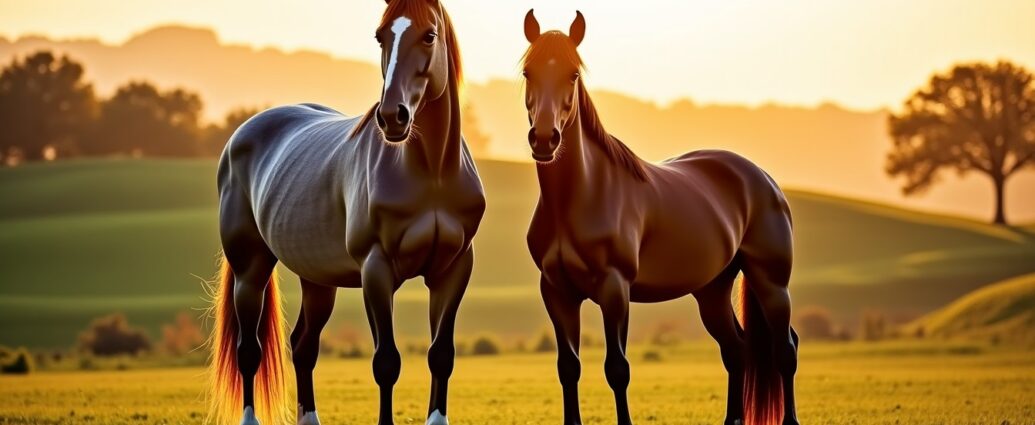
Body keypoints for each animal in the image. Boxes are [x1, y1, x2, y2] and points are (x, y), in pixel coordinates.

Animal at [207, 1, 485, 424]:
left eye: (429, 35)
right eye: (380, 36)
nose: (392, 117)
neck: (433, 172)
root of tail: (243, 133)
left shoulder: (453, 270)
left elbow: (441, 355)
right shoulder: (376, 270)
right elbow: (386, 362)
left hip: (317, 279)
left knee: (303, 346)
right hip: (249, 271)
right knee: (248, 351)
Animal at [520, 10, 799, 425]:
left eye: (573, 74)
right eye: (528, 72)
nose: (544, 139)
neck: (583, 196)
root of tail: (763, 179)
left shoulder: (615, 289)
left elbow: (617, 369)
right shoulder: (556, 291)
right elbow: (568, 368)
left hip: (771, 283)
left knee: (786, 350)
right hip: (712, 290)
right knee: (737, 351)